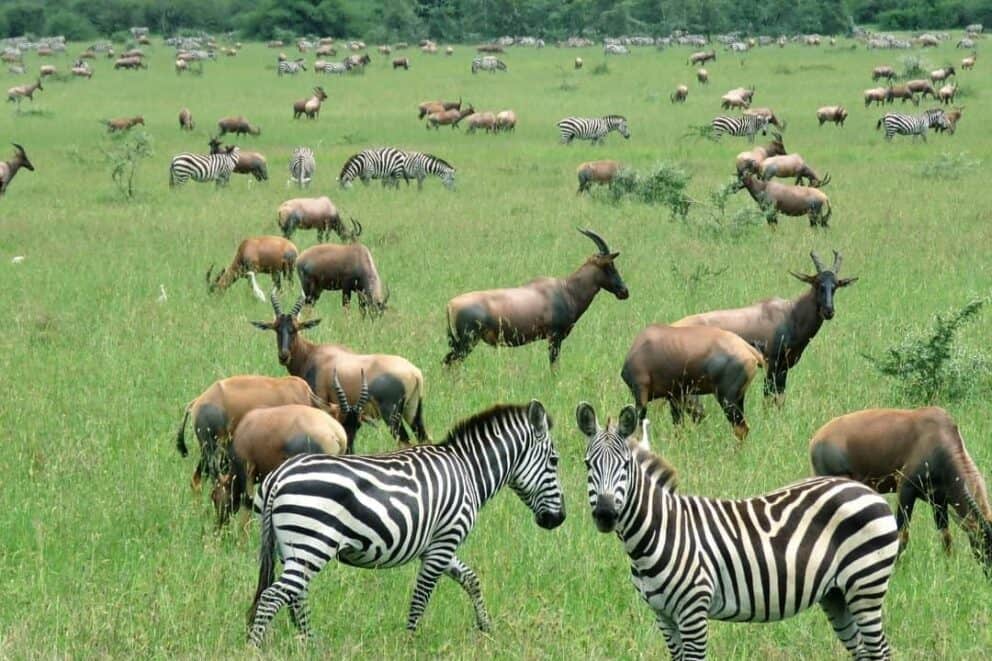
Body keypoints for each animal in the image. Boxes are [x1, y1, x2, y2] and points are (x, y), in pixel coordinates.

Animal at [246, 401, 565, 645]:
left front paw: (486, 628)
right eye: (554, 461)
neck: (468, 472)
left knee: (294, 595)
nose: (559, 519)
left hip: (291, 547)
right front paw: (410, 641)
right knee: (273, 596)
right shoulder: (445, 541)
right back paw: (255, 647)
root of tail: (279, 477)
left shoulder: (437, 545)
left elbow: (471, 580)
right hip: (311, 545)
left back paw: (310, 643)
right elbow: (421, 596)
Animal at [576, 403, 899, 661]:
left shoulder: (693, 611)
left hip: (866, 585)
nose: (605, 514)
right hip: (837, 594)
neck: (658, 533)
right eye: (588, 465)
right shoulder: (663, 616)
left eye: (625, 465)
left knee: (880, 651)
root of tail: (868, 491)